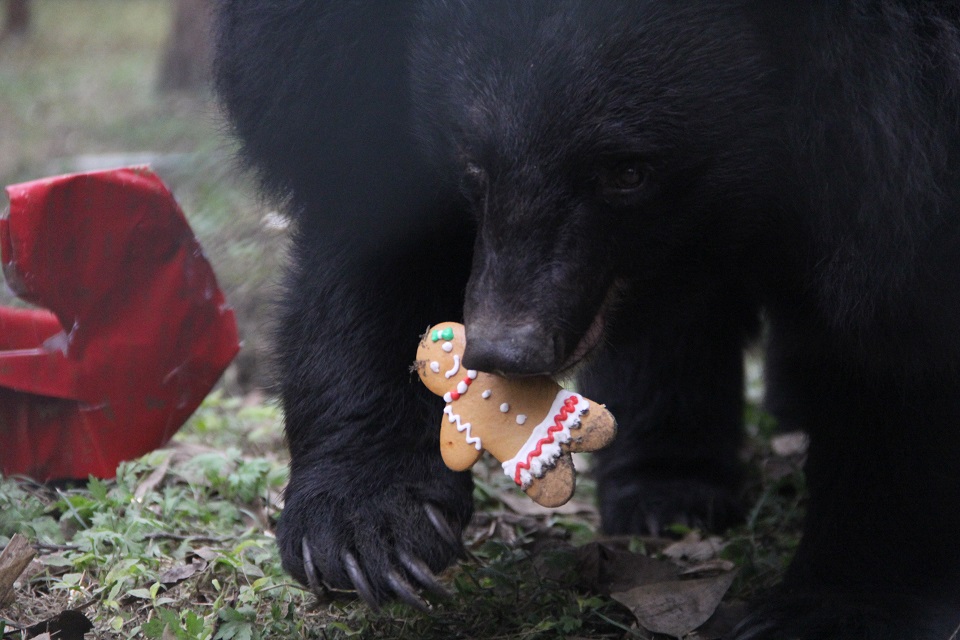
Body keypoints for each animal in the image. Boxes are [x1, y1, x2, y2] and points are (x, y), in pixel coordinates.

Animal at [216, 2, 960, 636]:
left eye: (628, 172)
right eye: (472, 163)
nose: (505, 349)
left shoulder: (904, 136)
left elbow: (898, 338)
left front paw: (832, 608)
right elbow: (372, 236)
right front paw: (366, 535)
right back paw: (666, 491)